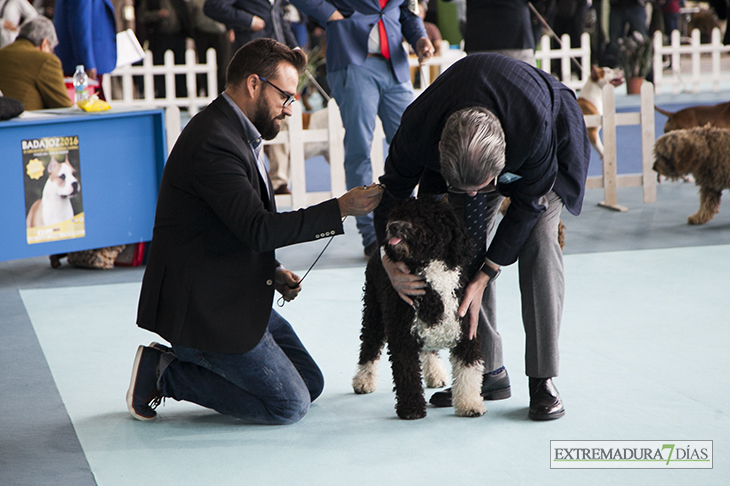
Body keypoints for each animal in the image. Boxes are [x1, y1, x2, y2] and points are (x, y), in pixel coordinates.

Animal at [352, 197, 484, 418]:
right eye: (398, 214)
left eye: (423, 218)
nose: (393, 226)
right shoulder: (402, 335)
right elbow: (407, 374)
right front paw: (411, 408)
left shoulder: (467, 331)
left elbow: (468, 373)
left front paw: (470, 404)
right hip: (373, 312)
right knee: (369, 346)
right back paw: (363, 380)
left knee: (427, 350)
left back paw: (435, 373)